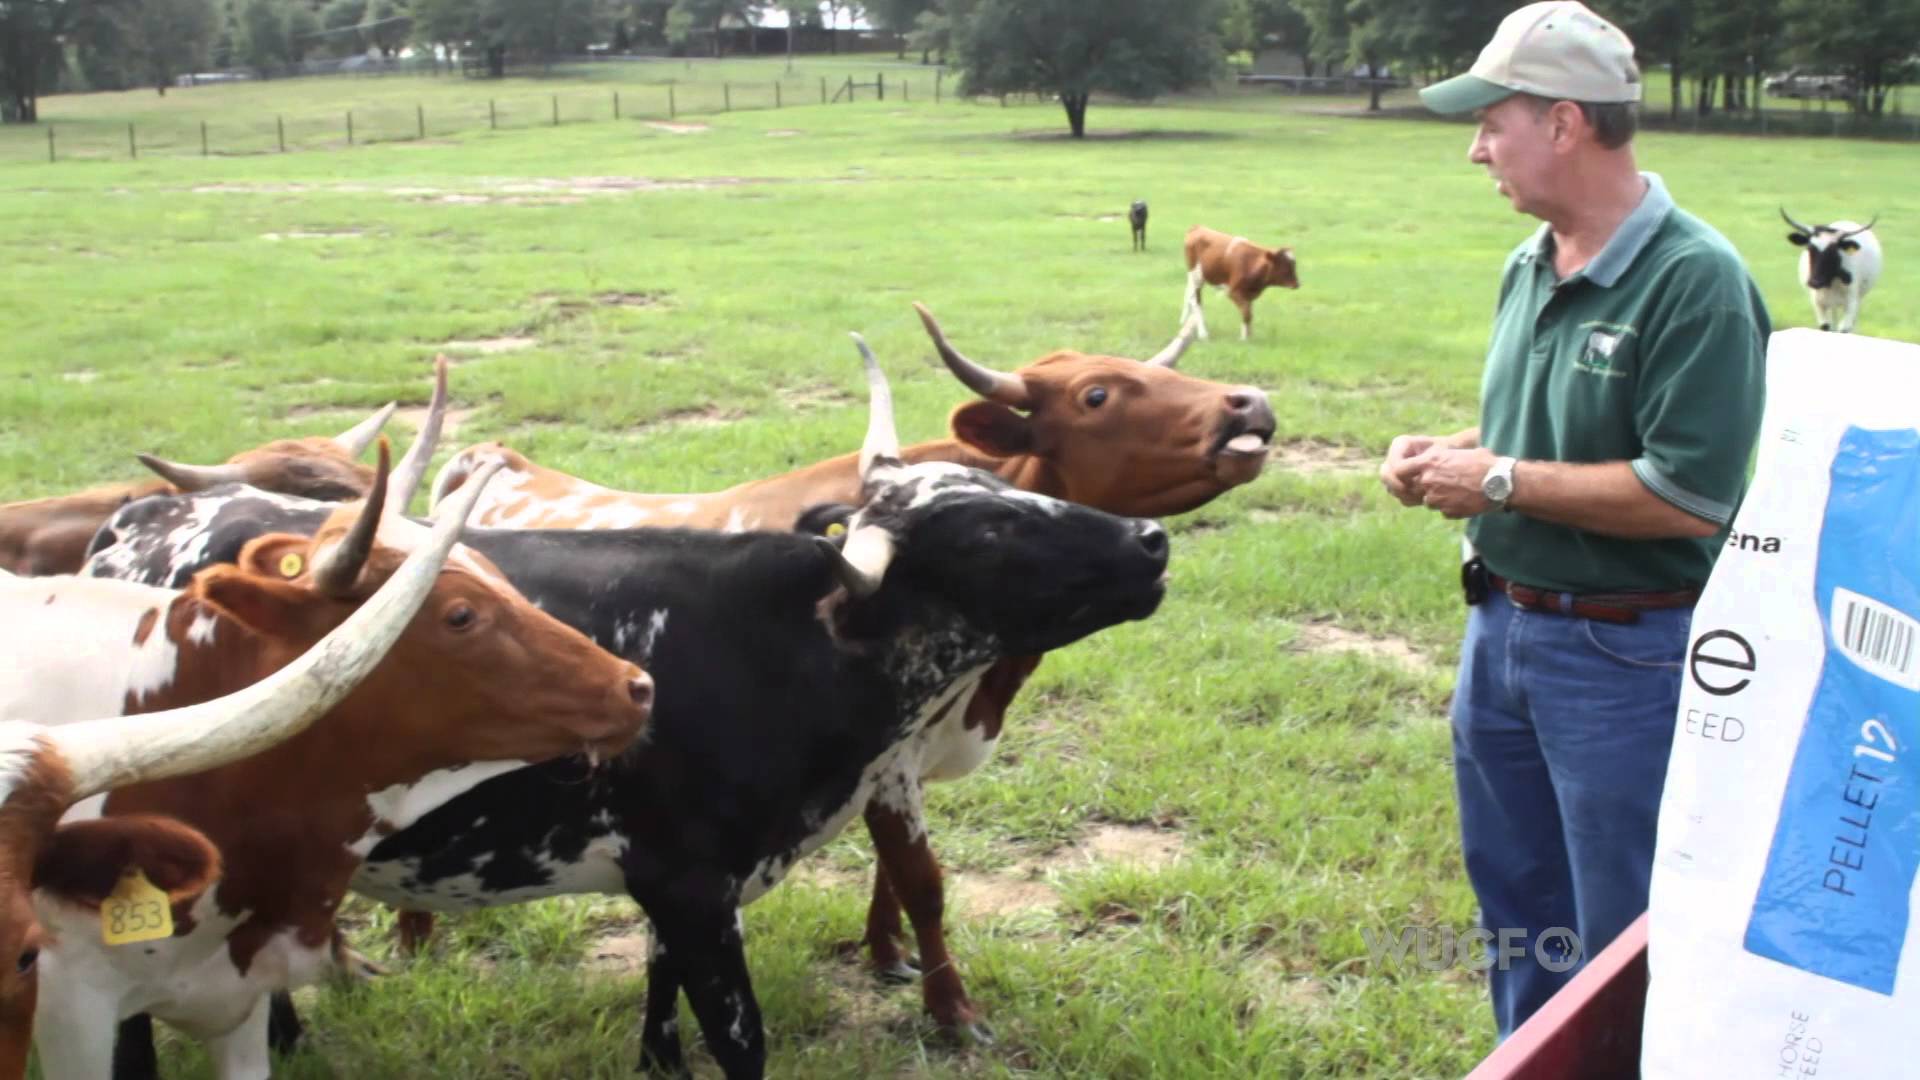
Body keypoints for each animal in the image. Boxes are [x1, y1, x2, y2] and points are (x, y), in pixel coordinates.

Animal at [95, 315, 1272, 1048]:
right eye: (1099, 393)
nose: (1151, 543)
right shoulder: (734, 864)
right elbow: (906, 897)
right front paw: (950, 1013)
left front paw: (896, 967)